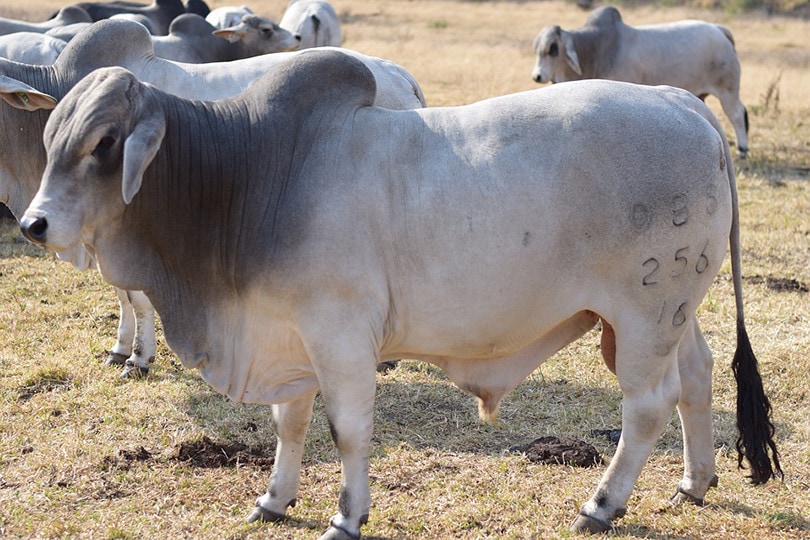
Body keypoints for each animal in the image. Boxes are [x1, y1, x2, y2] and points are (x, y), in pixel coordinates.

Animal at [17, 51, 776, 540]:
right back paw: (695, 481)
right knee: (697, 376)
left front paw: (346, 516)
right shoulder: (289, 335)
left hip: (645, 315)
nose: (33, 223)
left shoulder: (339, 335)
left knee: (648, 405)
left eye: (104, 143)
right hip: (673, 312)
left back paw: (601, 505)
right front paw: (274, 498)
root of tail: (682, 105)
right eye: (51, 138)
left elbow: (347, 430)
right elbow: (290, 424)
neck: (251, 174)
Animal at [528, 6, 748, 158]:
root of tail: (719, 29)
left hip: (727, 89)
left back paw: (743, 149)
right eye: (537, 49)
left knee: (737, 114)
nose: (537, 76)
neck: (596, 50)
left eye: (553, 49)